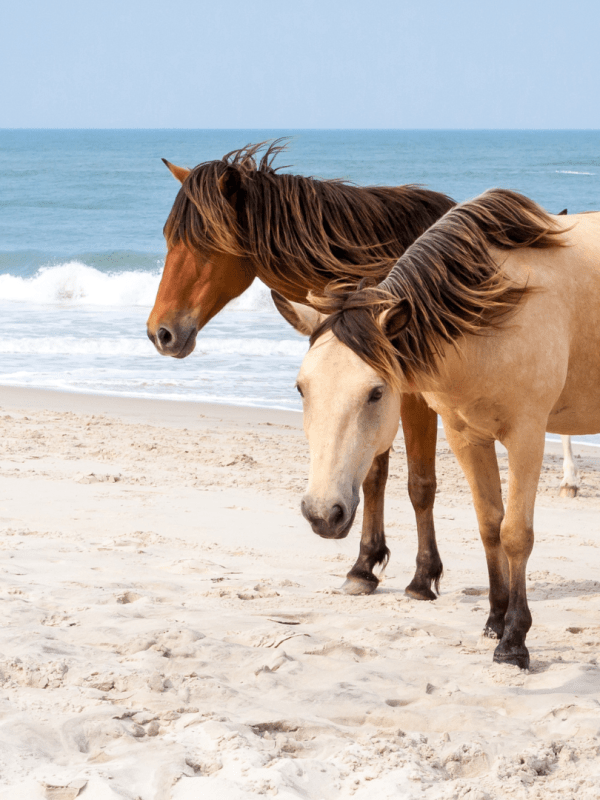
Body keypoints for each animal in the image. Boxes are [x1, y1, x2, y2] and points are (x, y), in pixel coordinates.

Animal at [147, 141, 456, 600]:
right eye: (169, 239)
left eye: (204, 244)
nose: (160, 333)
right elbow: (370, 476)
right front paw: (364, 567)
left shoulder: (409, 397)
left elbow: (420, 483)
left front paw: (422, 577)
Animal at [278, 188, 600, 669]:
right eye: (301, 388)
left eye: (376, 392)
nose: (323, 513)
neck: (494, 311)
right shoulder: (466, 436)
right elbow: (489, 524)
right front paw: (495, 620)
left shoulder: (527, 436)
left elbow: (515, 534)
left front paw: (514, 640)